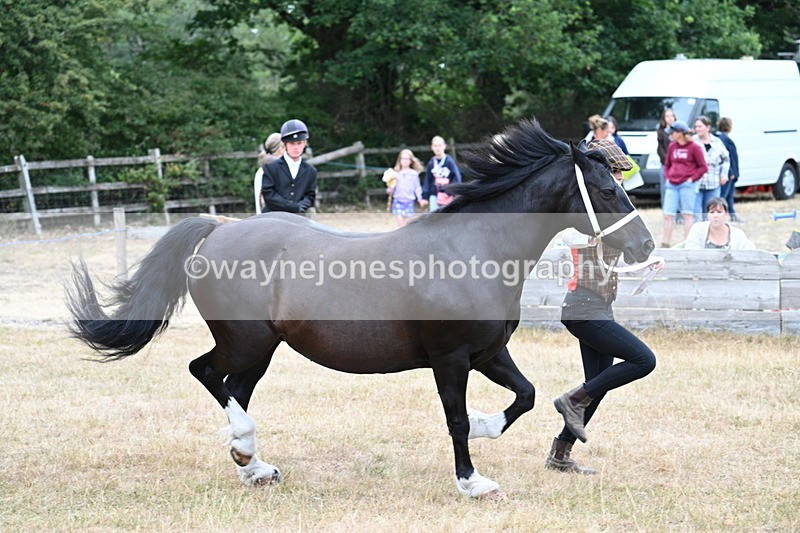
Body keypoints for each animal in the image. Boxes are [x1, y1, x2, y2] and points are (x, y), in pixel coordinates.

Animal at [66, 119, 655, 498]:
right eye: (606, 190)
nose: (645, 246)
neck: (473, 248)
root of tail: (219, 229)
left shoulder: (488, 353)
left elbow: (526, 396)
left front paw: (492, 430)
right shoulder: (450, 360)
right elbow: (458, 419)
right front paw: (472, 482)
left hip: (261, 349)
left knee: (232, 388)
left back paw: (252, 464)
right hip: (246, 341)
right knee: (207, 373)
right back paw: (247, 452)